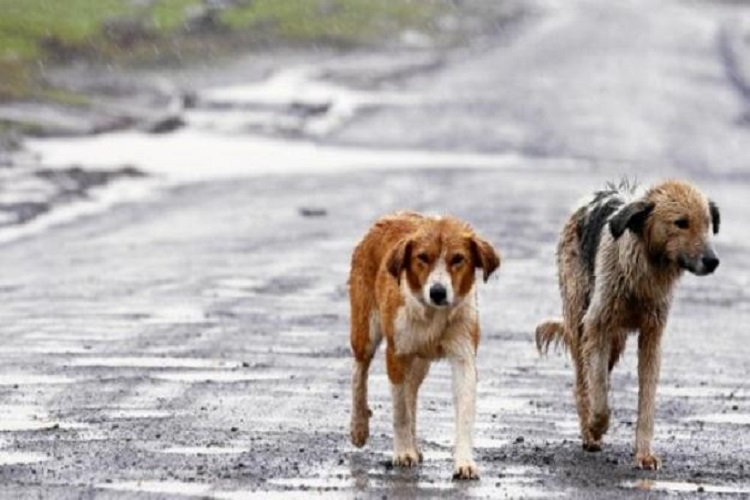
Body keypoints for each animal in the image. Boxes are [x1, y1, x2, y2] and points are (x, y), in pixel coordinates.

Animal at [350, 211, 502, 480]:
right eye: (422, 258)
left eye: (458, 259)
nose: (438, 292)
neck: (433, 316)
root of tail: (388, 217)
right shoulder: (396, 354)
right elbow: (400, 411)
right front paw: (403, 453)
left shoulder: (463, 356)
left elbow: (464, 411)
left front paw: (464, 462)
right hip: (365, 331)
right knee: (360, 373)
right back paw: (359, 427)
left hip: (420, 362)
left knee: (411, 392)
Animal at [536, 182, 724, 470]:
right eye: (681, 223)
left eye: (707, 224)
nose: (712, 261)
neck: (644, 272)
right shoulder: (596, 326)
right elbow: (598, 391)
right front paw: (597, 424)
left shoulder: (652, 337)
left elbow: (646, 401)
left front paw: (644, 454)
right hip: (581, 322)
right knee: (582, 383)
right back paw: (589, 433)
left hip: (616, 340)